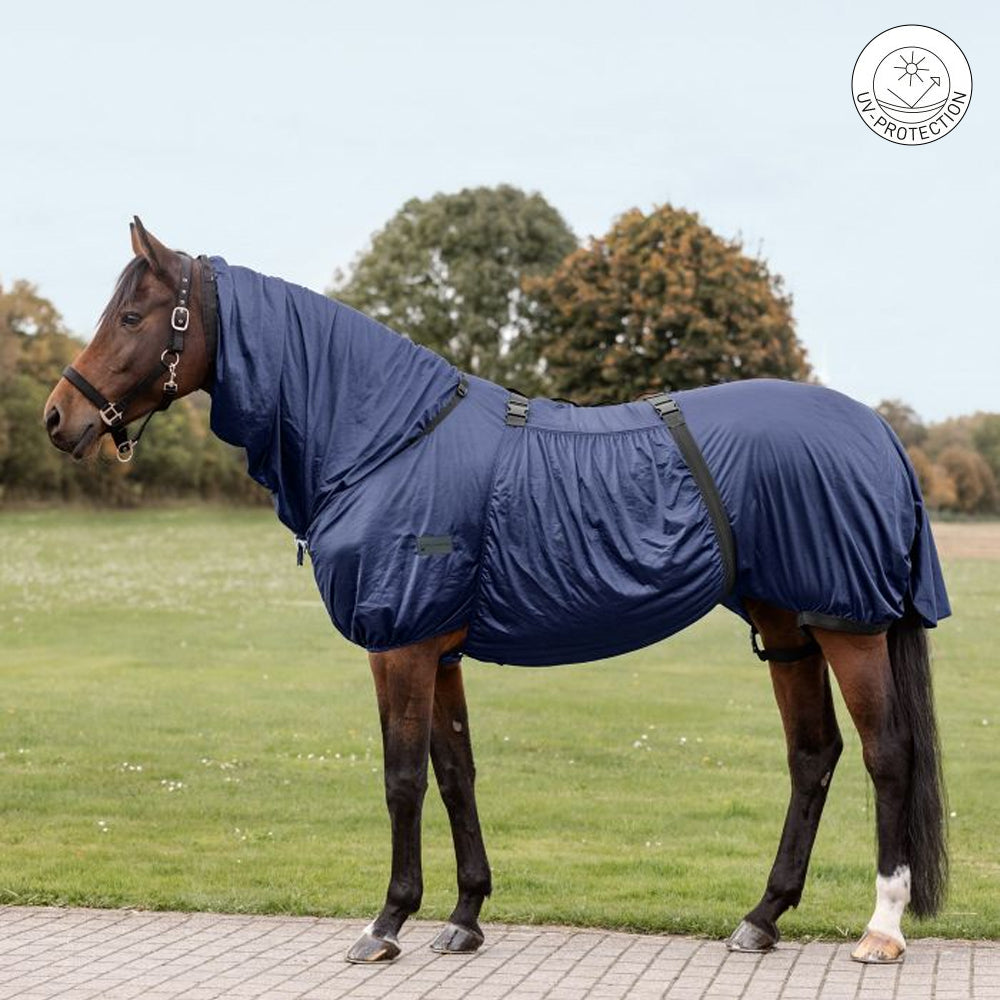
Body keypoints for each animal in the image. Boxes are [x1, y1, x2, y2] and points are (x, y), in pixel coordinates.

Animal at [44, 218, 949, 966]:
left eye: (132, 318)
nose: (58, 418)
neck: (386, 437)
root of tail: (878, 431)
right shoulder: (438, 650)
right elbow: (455, 773)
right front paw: (465, 917)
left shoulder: (399, 644)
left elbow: (402, 777)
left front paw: (386, 923)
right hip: (788, 627)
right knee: (813, 755)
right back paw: (761, 918)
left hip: (850, 626)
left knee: (886, 754)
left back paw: (881, 928)